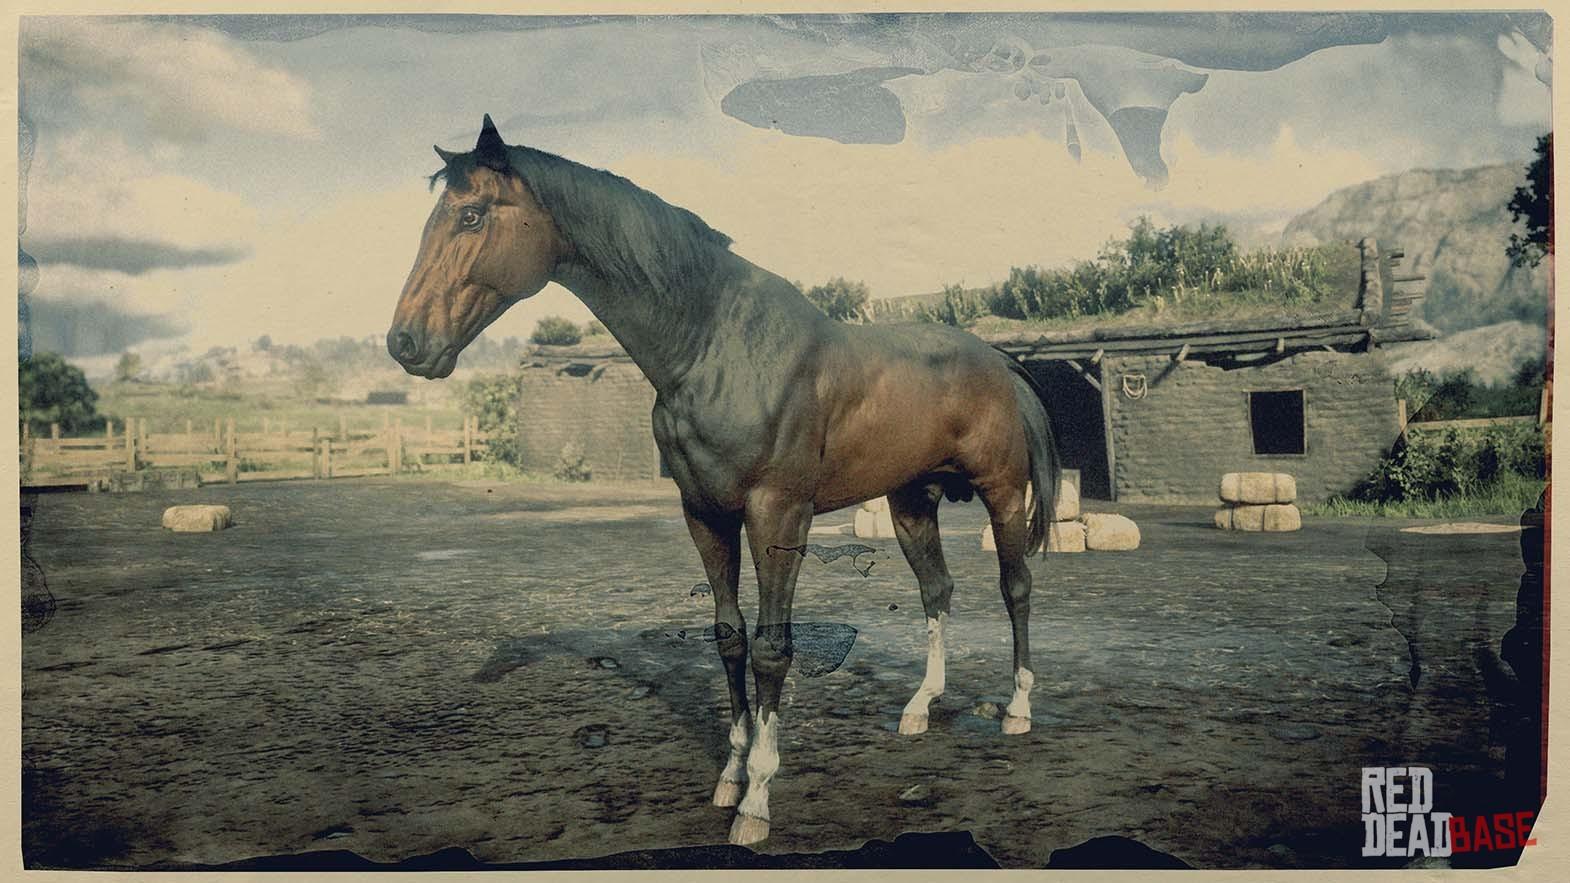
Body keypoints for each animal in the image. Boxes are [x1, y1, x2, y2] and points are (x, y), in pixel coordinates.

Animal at [387, 115, 1060, 847]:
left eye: (471, 214)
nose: (405, 342)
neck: (713, 345)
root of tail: (997, 359)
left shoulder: (778, 515)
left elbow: (771, 649)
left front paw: (757, 799)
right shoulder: (705, 514)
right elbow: (730, 638)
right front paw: (730, 775)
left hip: (1002, 492)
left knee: (1017, 587)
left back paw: (1019, 708)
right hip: (912, 502)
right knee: (937, 590)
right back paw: (917, 708)